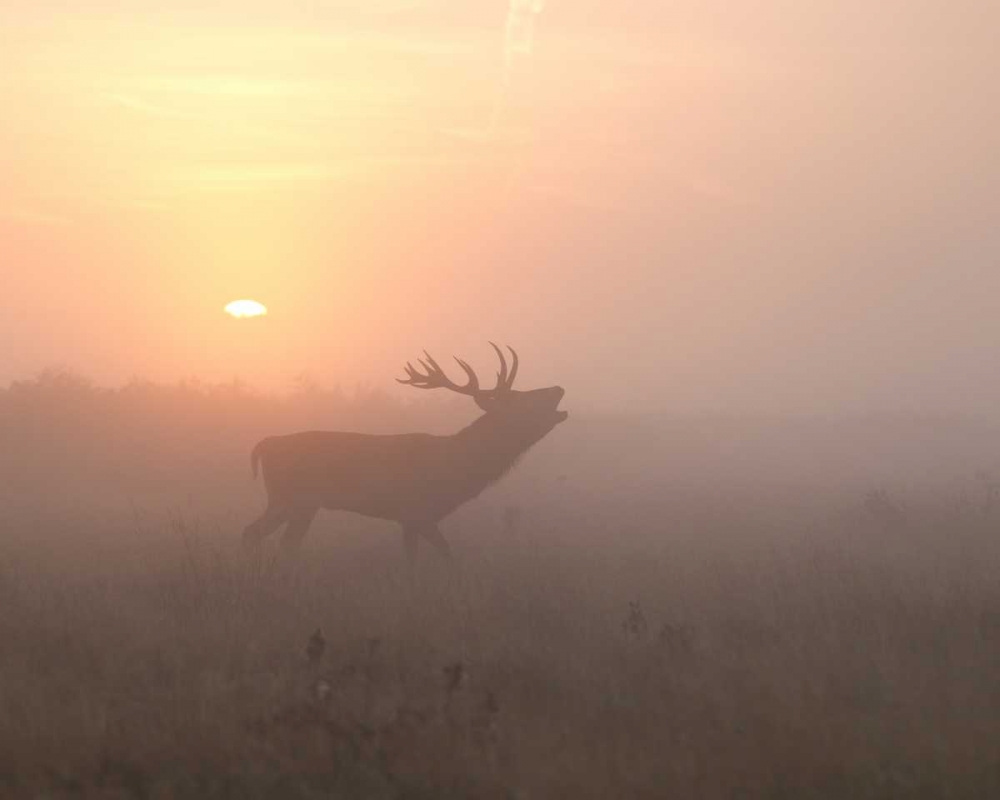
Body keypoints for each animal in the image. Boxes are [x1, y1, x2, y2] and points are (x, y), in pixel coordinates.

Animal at [242, 344, 567, 568]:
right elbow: (443, 555)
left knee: (271, 538)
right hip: (292, 497)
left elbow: (418, 557)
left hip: (298, 503)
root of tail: (264, 445)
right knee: (262, 536)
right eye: (521, 400)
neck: (456, 467)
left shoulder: (409, 518)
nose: (558, 388)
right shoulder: (417, 511)